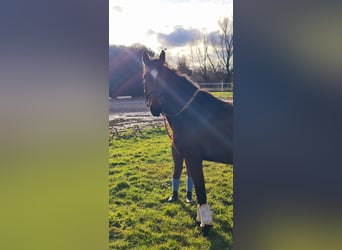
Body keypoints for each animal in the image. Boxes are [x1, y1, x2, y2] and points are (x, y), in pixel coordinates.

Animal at [142, 49, 232, 235]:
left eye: (163, 77)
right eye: (145, 77)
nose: (155, 107)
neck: (193, 113)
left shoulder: (193, 157)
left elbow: (200, 188)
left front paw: (206, 225)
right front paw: (200, 219)